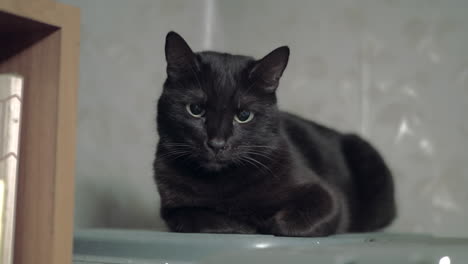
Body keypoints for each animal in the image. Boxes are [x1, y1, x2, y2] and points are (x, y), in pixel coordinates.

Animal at [154, 31, 394, 237]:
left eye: (244, 115)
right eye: (195, 110)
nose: (217, 143)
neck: (221, 181)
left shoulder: (330, 198)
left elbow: (290, 223)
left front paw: (265, 223)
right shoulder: (172, 208)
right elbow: (195, 217)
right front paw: (243, 225)